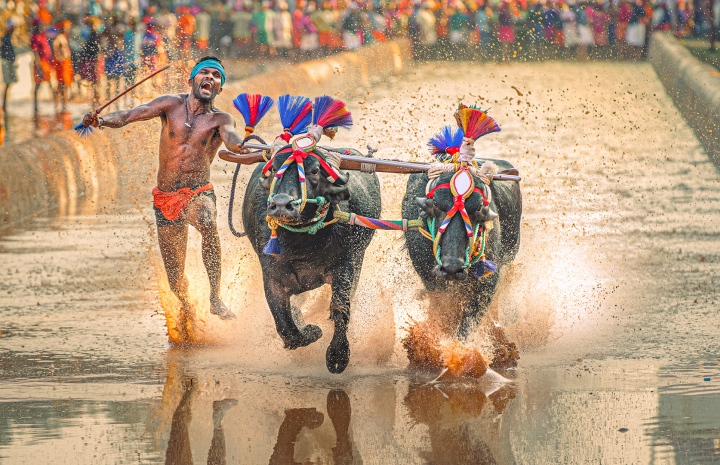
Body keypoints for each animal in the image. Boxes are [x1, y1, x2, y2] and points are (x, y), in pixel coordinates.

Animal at [242, 142, 380, 374]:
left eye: (315, 171)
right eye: (273, 169)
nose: (282, 205)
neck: (301, 243)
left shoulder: (345, 265)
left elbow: (340, 307)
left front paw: (337, 355)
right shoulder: (271, 277)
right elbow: (286, 326)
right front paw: (312, 331)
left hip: (359, 259)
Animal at [401, 159, 522, 367]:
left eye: (479, 208)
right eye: (435, 204)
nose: (452, 267)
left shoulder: (488, 281)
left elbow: (468, 322)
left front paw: (459, 355)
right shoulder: (431, 280)